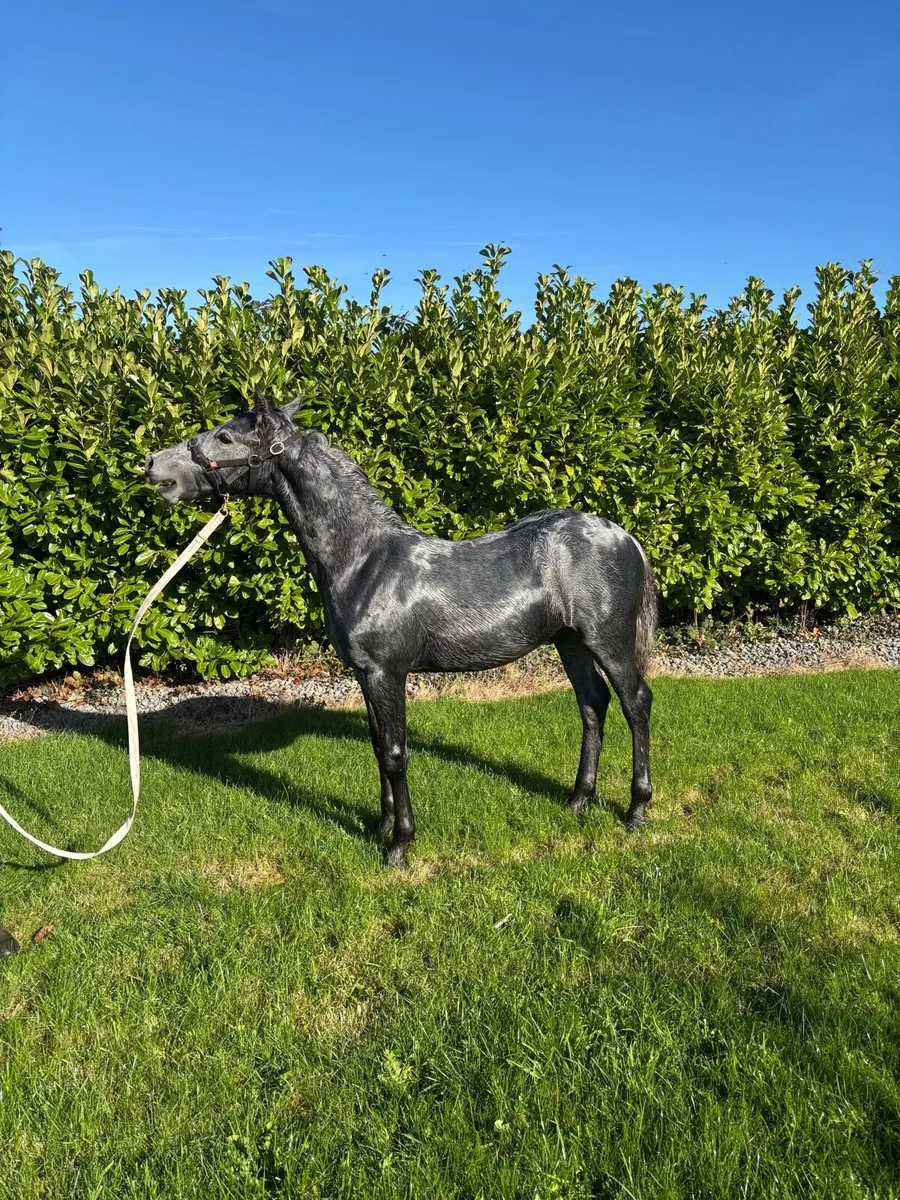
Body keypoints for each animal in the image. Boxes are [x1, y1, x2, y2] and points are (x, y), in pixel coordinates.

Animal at [144, 389, 657, 867]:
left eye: (226, 436)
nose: (153, 466)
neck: (364, 560)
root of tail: (624, 536)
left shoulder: (386, 673)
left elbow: (394, 753)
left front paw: (399, 845)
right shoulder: (364, 675)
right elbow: (376, 747)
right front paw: (380, 824)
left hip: (607, 642)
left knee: (635, 703)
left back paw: (636, 810)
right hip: (570, 642)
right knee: (592, 705)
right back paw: (577, 801)